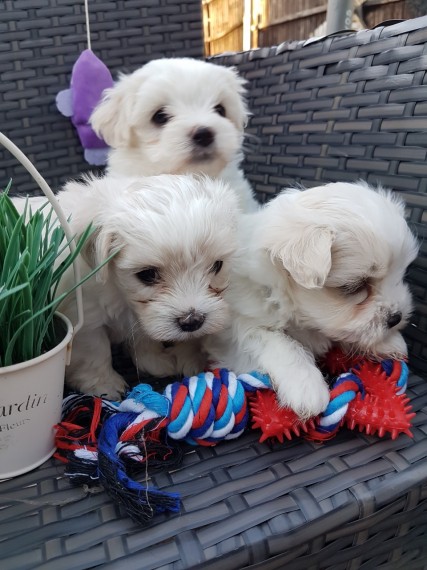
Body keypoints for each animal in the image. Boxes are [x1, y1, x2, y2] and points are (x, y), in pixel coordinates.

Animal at [44, 175, 241, 398]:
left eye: (217, 266)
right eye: (147, 275)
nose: (192, 321)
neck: (117, 292)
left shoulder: (142, 317)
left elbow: (143, 338)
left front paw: (155, 362)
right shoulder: (84, 319)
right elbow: (95, 351)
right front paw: (104, 385)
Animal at [206, 182, 420, 418]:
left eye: (400, 274)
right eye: (355, 286)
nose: (396, 317)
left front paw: (389, 342)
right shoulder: (239, 325)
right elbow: (277, 341)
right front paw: (306, 386)